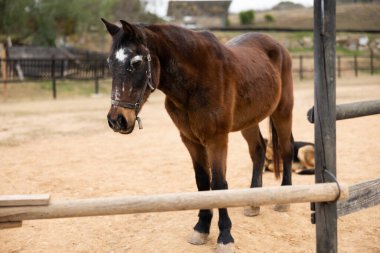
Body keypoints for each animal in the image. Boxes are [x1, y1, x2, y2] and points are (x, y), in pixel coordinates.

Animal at [102, 19, 296, 253]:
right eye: (110, 63)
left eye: (136, 61)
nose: (117, 120)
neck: (195, 80)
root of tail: (278, 46)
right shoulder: (191, 140)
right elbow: (203, 182)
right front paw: (201, 229)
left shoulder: (216, 139)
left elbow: (219, 183)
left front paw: (225, 236)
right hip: (249, 120)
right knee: (258, 150)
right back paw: (253, 203)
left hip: (283, 111)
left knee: (286, 149)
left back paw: (284, 200)